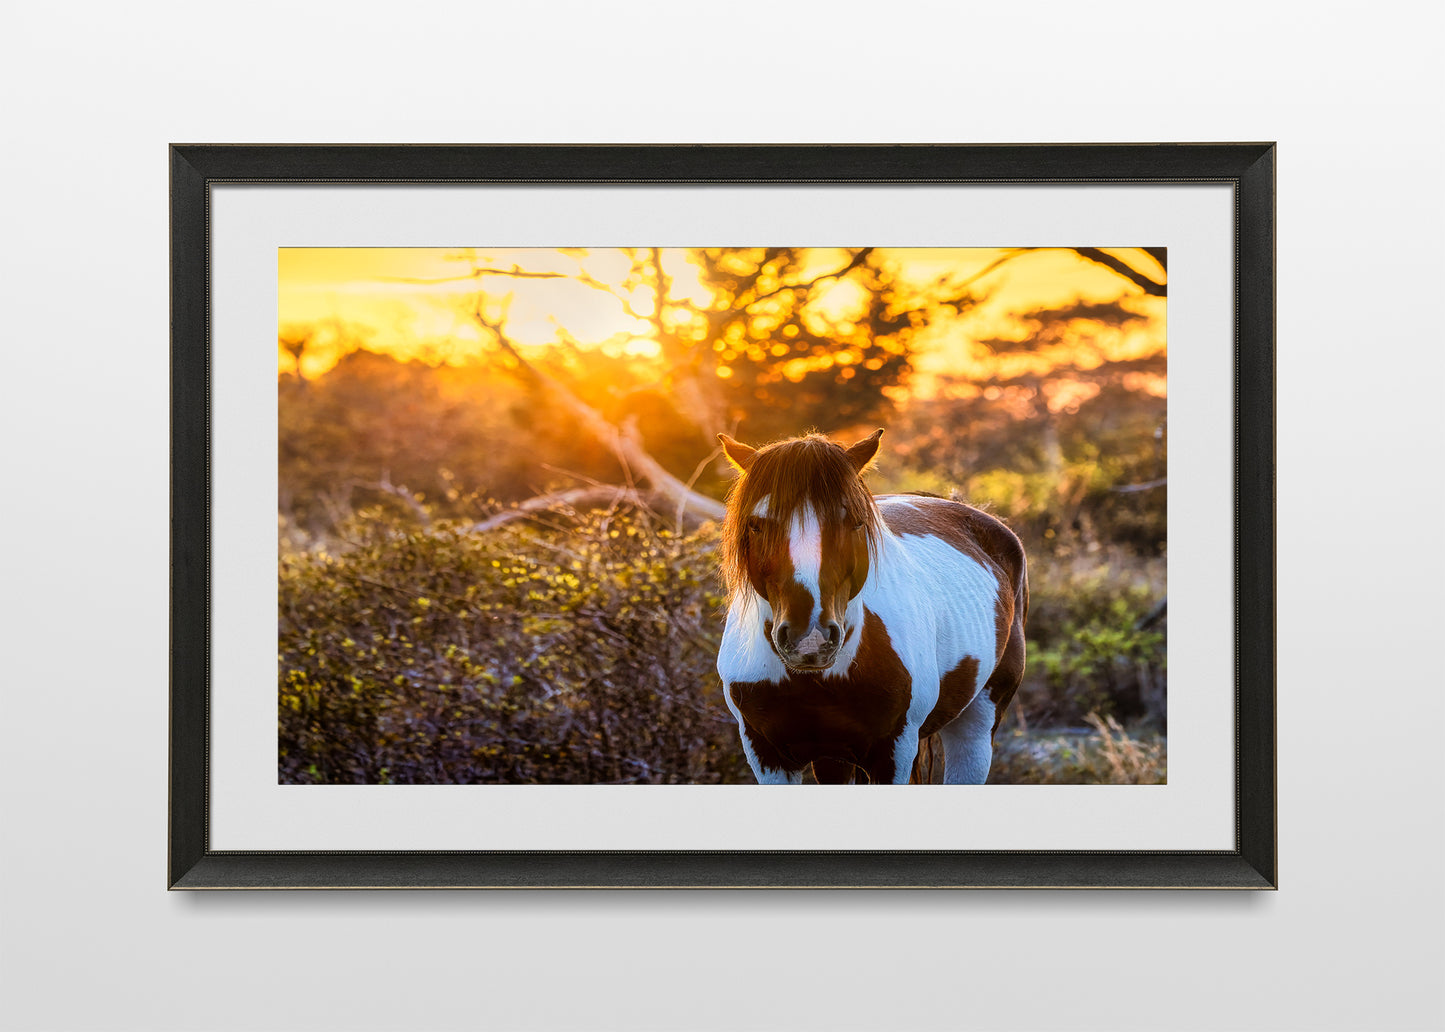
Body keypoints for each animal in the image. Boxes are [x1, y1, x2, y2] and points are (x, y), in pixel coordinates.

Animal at [715, 428, 1028, 785]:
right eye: (756, 524)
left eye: (855, 522)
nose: (810, 640)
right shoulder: (766, 754)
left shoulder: (893, 751)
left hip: (977, 723)